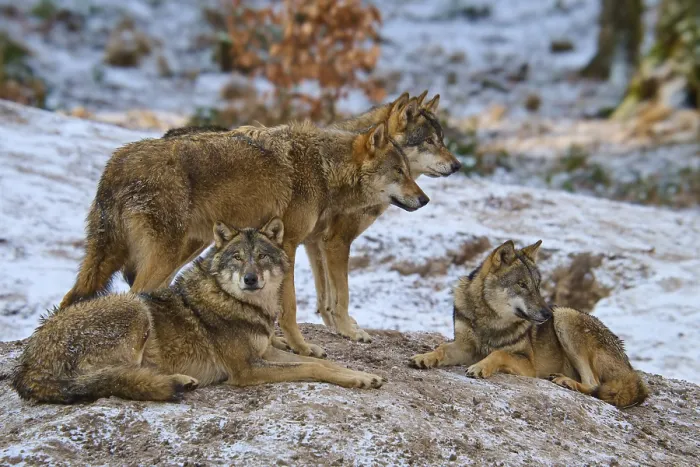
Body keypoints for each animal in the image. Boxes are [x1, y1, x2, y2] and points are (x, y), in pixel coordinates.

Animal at [13, 219, 384, 404]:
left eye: (261, 257)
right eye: (237, 258)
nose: (250, 279)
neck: (240, 303)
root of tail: (27, 364)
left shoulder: (264, 352)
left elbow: (323, 363)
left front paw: (361, 375)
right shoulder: (247, 370)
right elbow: (310, 369)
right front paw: (354, 377)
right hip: (134, 308)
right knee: (115, 379)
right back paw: (176, 382)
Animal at [59, 119, 427, 358]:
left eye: (410, 172)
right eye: (399, 172)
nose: (424, 200)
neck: (323, 168)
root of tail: (114, 164)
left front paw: (279, 343)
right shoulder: (289, 244)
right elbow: (289, 308)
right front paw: (302, 347)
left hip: (171, 250)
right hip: (165, 254)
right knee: (135, 296)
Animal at [410, 240, 649, 409]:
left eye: (537, 285)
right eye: (522, 285)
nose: (546, 314)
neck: (490, 320)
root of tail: (630, 367)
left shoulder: (528, 365)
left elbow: (498, 353)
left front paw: (480, 367)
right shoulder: (464, 347)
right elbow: (441, 348)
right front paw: (424, 357)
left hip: (565, 316)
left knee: (594, 384)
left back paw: (565, 381)